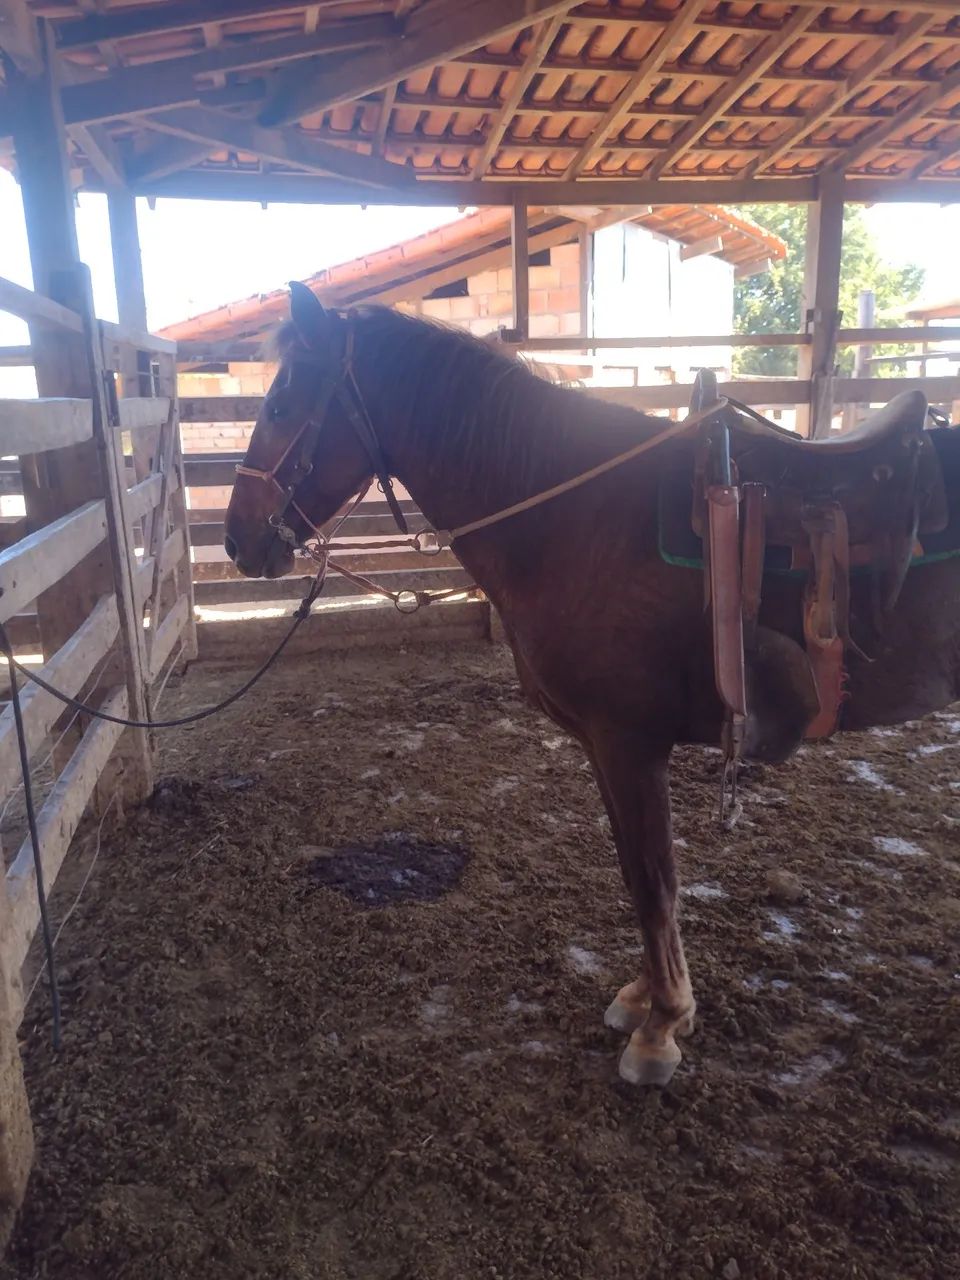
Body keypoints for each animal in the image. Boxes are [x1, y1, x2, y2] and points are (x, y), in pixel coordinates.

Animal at [224, 283, 960, 1087]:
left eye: (283, 402)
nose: (236, 541)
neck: (577, 518)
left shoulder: (630, 744)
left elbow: (655, 878)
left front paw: (662, 1028)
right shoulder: (604, 748)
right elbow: (636, 873)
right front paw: (647, 1000)